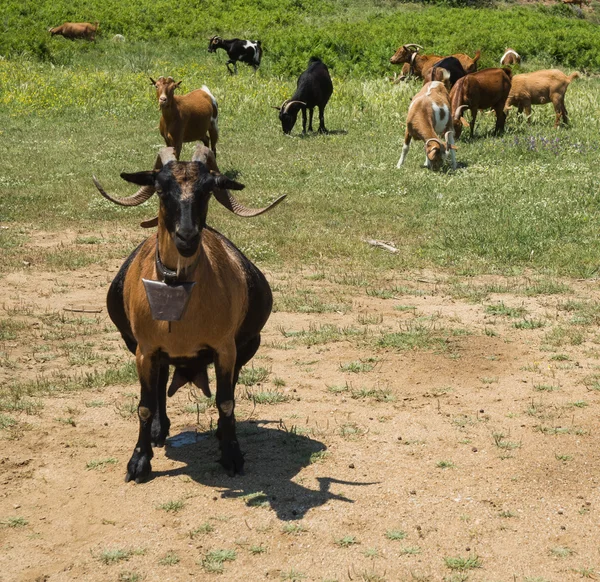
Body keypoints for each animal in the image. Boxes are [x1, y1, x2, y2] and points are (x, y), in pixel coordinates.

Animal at [95, 146, 288, 484]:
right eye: (160, 187)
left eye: (209, 189)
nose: (187, 237)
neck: (178, 286)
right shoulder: (144, 349)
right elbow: (144, 406)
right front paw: (139, 461)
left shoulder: (226, 348)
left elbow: (226, 401)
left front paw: (232, 455)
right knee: (160, 381)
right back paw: (159, 430)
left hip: (248, 346)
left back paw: (223, 433)